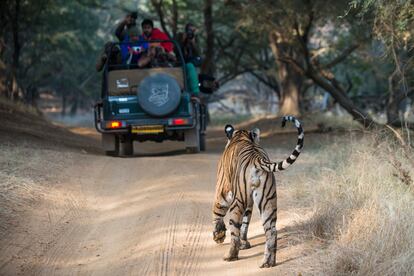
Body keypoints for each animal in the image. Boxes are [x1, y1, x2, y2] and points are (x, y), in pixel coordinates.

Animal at [212, 116, 302, 268]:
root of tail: (257, 159)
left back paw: (230, 256)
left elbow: (217, 214)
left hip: (238, 202)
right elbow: (245, 224)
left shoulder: (221, 193)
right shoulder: (249, 203)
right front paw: (244, 244)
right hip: (267, 202)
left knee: (234, 231)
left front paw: (218, 236)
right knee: (272, 232)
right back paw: (268, 262)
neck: (241, 136)